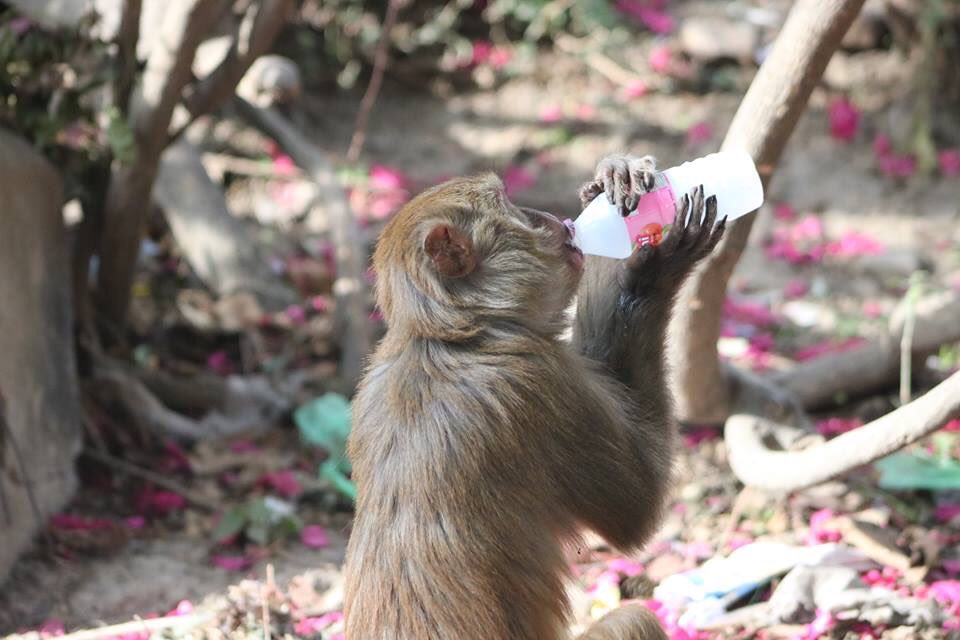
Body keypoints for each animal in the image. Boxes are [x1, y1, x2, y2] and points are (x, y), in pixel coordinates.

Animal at [343, 153, 725, 640]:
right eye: (511, 206)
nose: (549, 217)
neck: (452, 338)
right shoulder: (536, 380)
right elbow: (637, 514)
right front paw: (653, 266)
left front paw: (615, 180)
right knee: (635, 619)